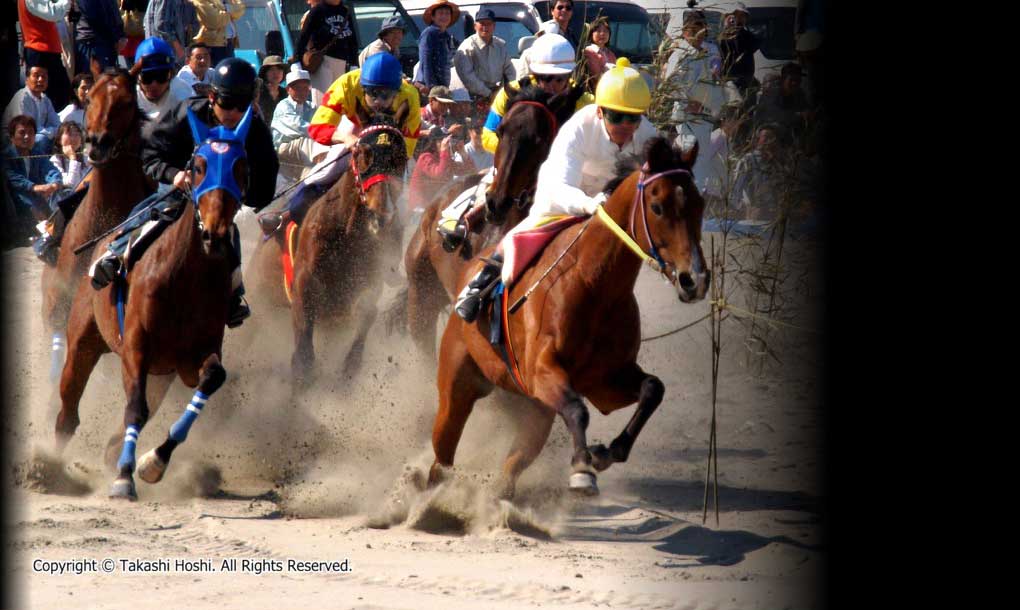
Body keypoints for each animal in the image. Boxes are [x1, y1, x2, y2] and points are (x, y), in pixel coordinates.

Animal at [54, 106, 257, 497]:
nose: (214, 234)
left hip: (162, 373)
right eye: (198, 166)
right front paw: (123, 478)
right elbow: (136, 408)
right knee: (68, 409)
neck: (185, 277)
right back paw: (48, 464)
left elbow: (212, 377)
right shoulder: (136, 345)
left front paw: (152, 462)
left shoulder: (193, 356)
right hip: (83, 339)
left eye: (242, 167)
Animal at [246, 120, 405, 391]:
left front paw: (351, 364)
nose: (381, 217)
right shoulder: (303, 285)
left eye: (401, 158)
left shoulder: (367, 282)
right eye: (362, 154)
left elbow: (368, 312)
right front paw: (301, 374)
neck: (347, 234)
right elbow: (303, 349)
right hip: (259, 301)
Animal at [428, 138, 709, 501]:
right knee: (443, 453)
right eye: (658, 207)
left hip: (534, 411)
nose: (695, 280)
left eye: (700, 205)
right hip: (457, 385)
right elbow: (577, 409)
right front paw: (582, 470)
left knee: (510, 467)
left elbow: (652, 388)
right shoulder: (542, 372)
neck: (594, 284)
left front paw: (606, 453)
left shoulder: (604, 379)